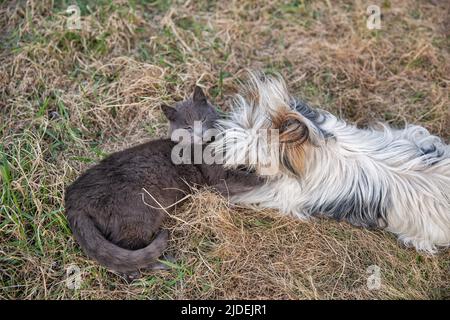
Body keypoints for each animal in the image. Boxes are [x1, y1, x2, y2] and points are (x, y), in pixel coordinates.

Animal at [62, 86, 260, 276]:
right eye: (187, 127)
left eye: (203, 119)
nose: (200, 134)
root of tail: (73, 199)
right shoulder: (219, 175)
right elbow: (243, 178)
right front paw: (264, 177)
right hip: (138, 213)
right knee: (129, 257)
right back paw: (162, 263)